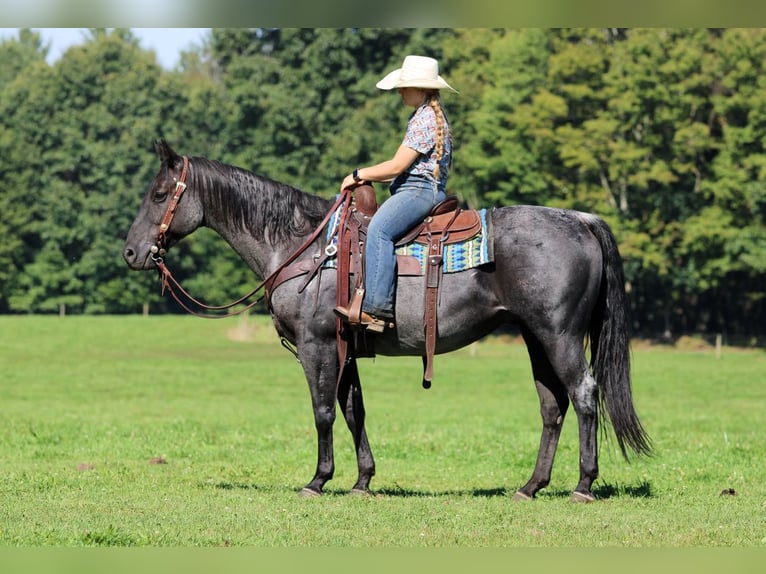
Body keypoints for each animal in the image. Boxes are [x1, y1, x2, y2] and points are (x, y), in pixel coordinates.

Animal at [123, 140, 651, 502]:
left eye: (160, 193)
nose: (131, 252)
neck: (302, 246)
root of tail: (580, 219)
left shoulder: (316, 346)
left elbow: (322, 411)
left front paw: (318, 480)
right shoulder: (346, 350)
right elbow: (354, 410)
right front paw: (362, 480)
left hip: (558, 335)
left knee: (584, 394)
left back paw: (583, 484)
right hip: (535, 338)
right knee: (552, 405)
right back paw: (531, 485)